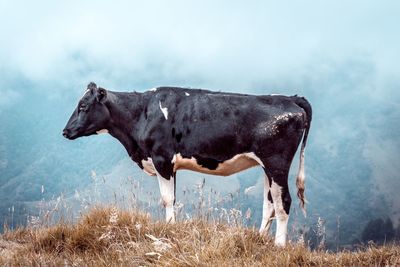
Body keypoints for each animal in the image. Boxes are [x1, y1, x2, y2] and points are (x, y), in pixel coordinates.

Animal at [63, 82, 312, 247]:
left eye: (83, 106)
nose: (65, 131)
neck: (141, 114)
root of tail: (291, 98)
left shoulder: (162, 159)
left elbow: (167, 199)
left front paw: (169, 230)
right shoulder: (170, 165)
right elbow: (172, 198)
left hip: (277, 163)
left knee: (283, 202)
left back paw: (279, 246)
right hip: (266, 167)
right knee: (270, 203)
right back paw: (259, 238)